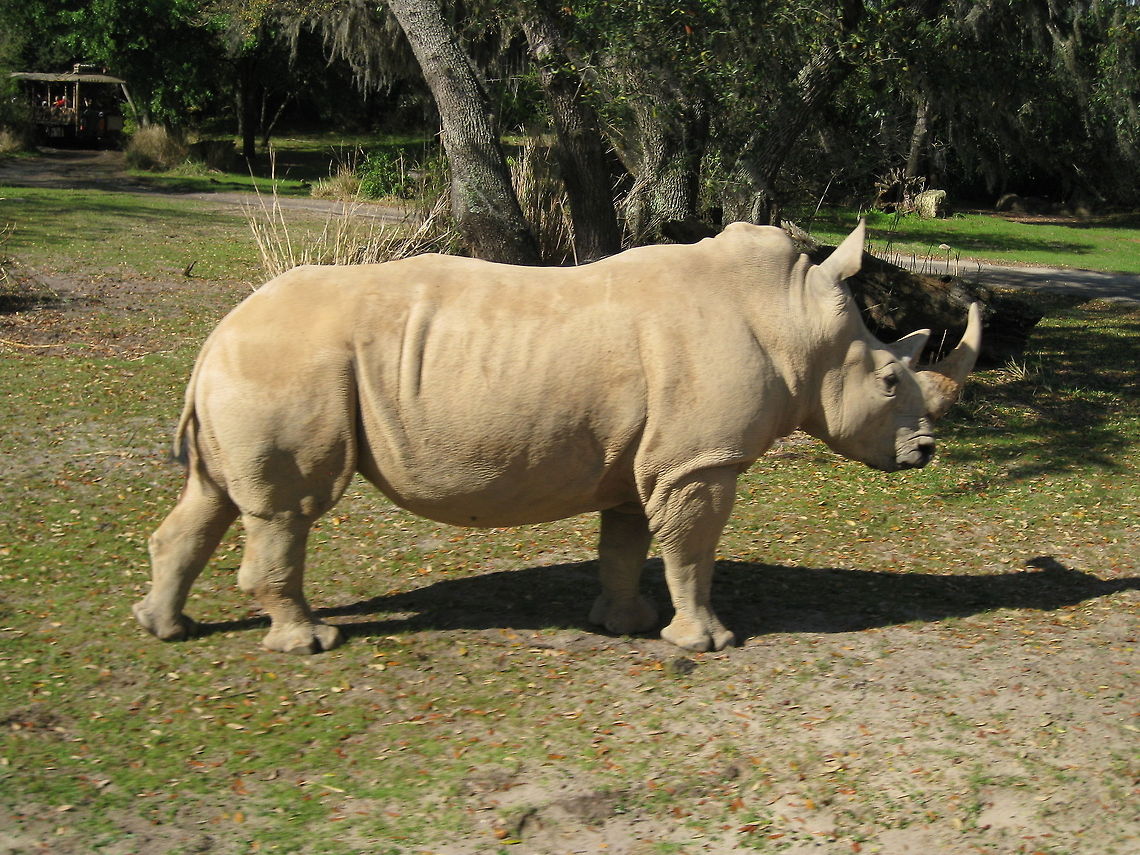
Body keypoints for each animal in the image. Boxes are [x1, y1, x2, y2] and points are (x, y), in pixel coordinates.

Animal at [133, 221, 981, 654]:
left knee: (210, 496)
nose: (924, 452)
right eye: (890, 379)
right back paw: (311, 642)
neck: (796, 322)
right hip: (289, 364)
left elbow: (629, 543)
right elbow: (693, 549)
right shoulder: (699, 459)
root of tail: (217, 333)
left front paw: (627, 624)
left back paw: (166, 627)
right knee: (288, 508)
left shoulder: (651, 457)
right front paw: (705, 641)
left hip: (254, 366)